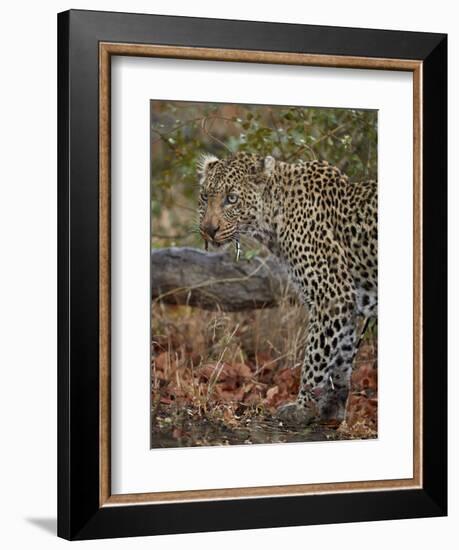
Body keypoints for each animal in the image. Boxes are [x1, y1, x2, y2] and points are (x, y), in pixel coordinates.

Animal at [198, 153, 378, 430]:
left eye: (231, 198)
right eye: (205, 196)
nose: (208, 229)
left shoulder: (331, 295)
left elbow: (316, 355)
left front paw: (302, 408)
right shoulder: (347, 301)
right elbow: (341, 357)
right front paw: (332, 410)